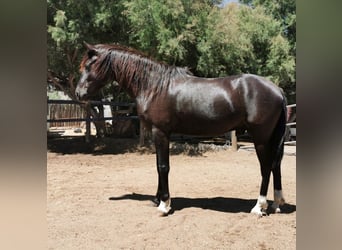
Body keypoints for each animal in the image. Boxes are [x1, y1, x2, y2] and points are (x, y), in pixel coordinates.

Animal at [76, 42, 288, 215]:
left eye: (89, 66)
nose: (79, 93)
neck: (154, 85)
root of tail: (277, 90)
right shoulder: (158, 133)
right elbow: (158, 165)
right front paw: (157, 198)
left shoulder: (161, 132)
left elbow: (163, 166)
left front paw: (164, 205)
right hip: (272, 138)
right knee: (276, 165)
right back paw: (276, 204)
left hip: (260, 138)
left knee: (266, 167)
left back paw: (259, 207)